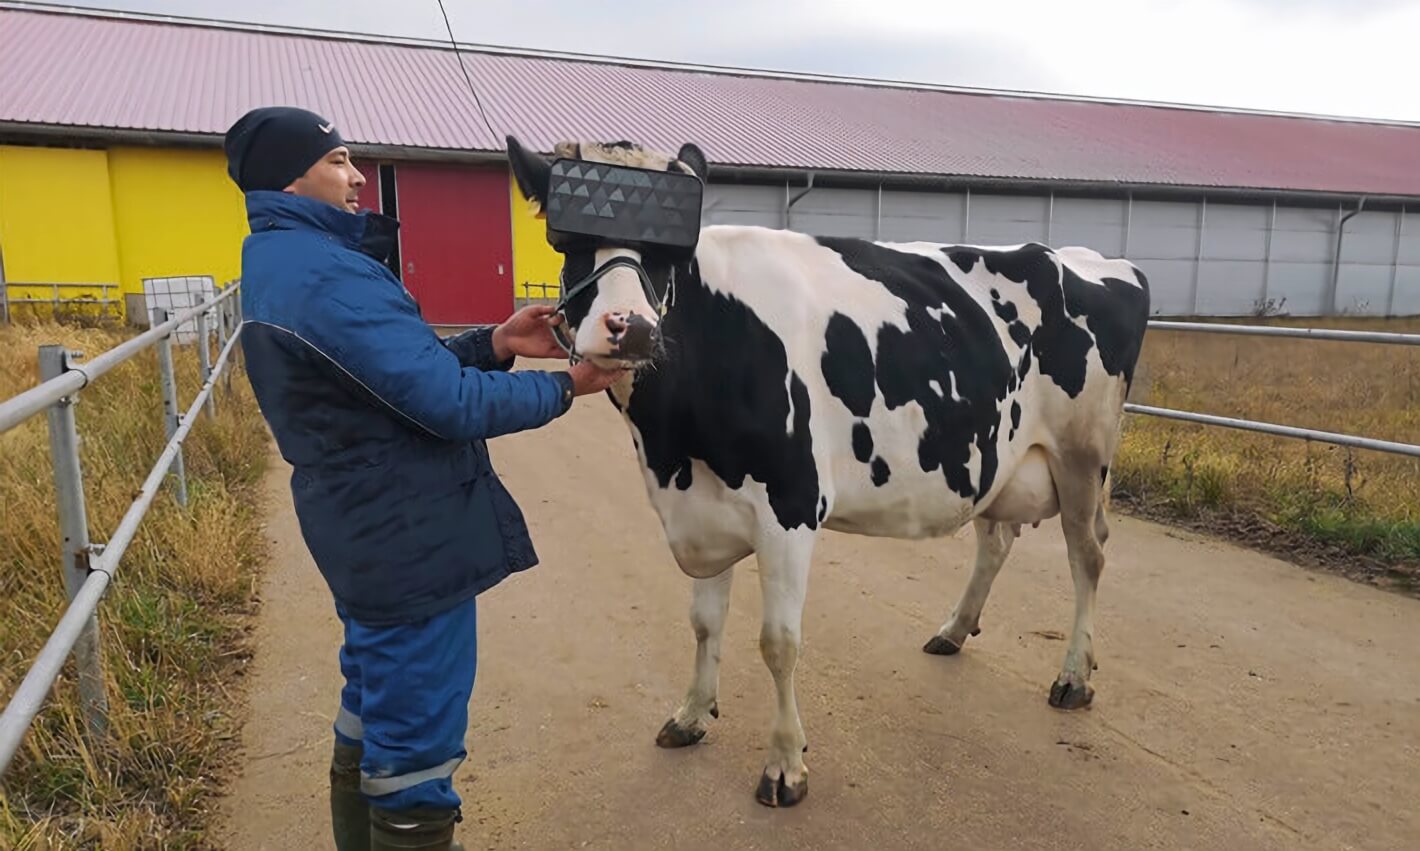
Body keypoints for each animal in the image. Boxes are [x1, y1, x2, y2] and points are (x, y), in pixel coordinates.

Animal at [505, 136, 1147, 806]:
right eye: (568, 244)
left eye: (669, 254)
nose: (630, 327)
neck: (671, 447)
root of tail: (1094, 260)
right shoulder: (702, 508)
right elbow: (705, 624)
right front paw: (691, 715)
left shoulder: (790, 506)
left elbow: (778, 643)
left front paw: (785, 764)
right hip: (996, 456)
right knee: (996, 538)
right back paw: (954, 629)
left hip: (1083, 456)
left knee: (1088, 555)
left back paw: (1073, 677)